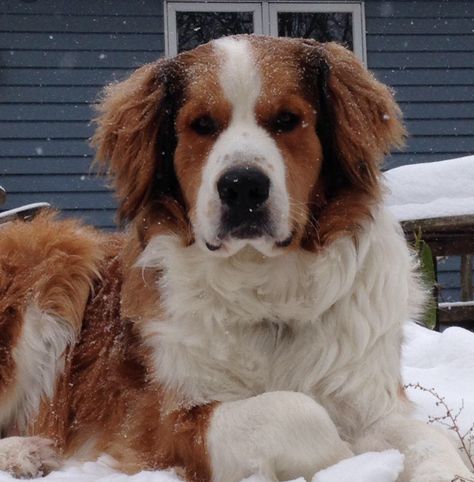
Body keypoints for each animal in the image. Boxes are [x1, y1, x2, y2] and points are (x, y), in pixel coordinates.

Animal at [0, 35, 470, 480]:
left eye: (287, 121)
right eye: (203, 125)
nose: (243, 187)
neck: (266, 291)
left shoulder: (367, 399)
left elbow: (423, 436)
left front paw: (440, 470)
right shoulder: (163, 424)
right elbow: (298, 412)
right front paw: (349, 459)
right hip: (55, 255)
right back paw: (21, 450)